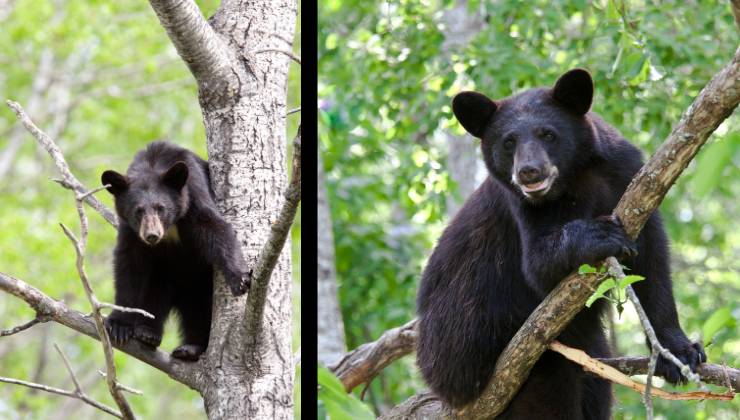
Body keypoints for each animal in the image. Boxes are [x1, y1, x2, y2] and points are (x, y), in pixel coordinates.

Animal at [101, 141, 250, 361]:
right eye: (138, 211)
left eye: (160, 208)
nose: (152, 235)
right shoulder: (131, 230)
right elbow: (128, 266)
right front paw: (119, 324)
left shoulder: (194, 193)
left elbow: (214, 227)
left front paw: (240, 278)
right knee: (157, 293)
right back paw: (148, 332)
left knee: (200, 306)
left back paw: (191, 348)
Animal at [416, 69, 705, 418]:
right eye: (508, 142)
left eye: (548, 134)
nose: (528, 172)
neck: (574, 180)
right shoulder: (521, 208)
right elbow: (538, 265)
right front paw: (600, 234)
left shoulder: (628, 175)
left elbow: (652, 262)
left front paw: (679, 353)